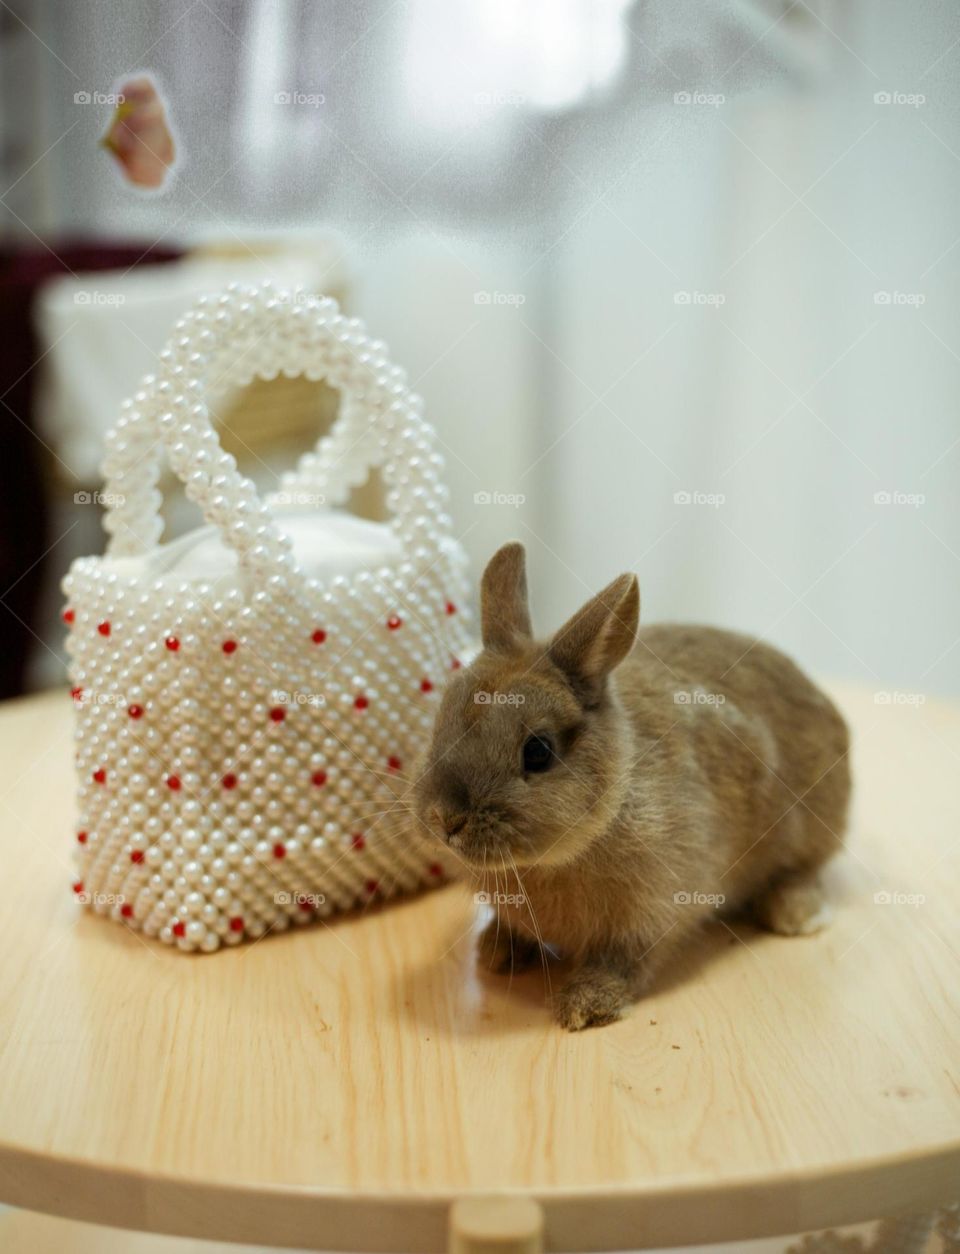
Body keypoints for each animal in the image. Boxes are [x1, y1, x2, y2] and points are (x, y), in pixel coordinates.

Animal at [412, 542, 851, 1031]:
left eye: (538, 751)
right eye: (440, 721)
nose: (443, 820)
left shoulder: (652, 912)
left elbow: (624, 960)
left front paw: (587, 1004)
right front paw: (496, 952)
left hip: (810, 830)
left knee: (803, 869)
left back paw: (799, 915)